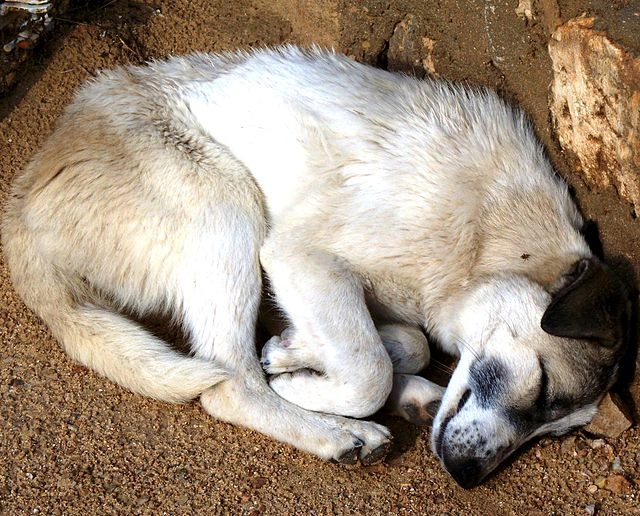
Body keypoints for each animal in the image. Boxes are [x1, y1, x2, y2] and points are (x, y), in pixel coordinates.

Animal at [1, 45, 632, 488]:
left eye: (553, 432)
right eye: (544, 386)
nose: (467, 478)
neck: (490, 237)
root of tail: (23, 204)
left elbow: (402, 345)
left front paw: (295, 353)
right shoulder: (299, 257)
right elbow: (368, 369)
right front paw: (306, 382)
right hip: (228, 207)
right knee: (229, 385)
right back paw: (336, 434)